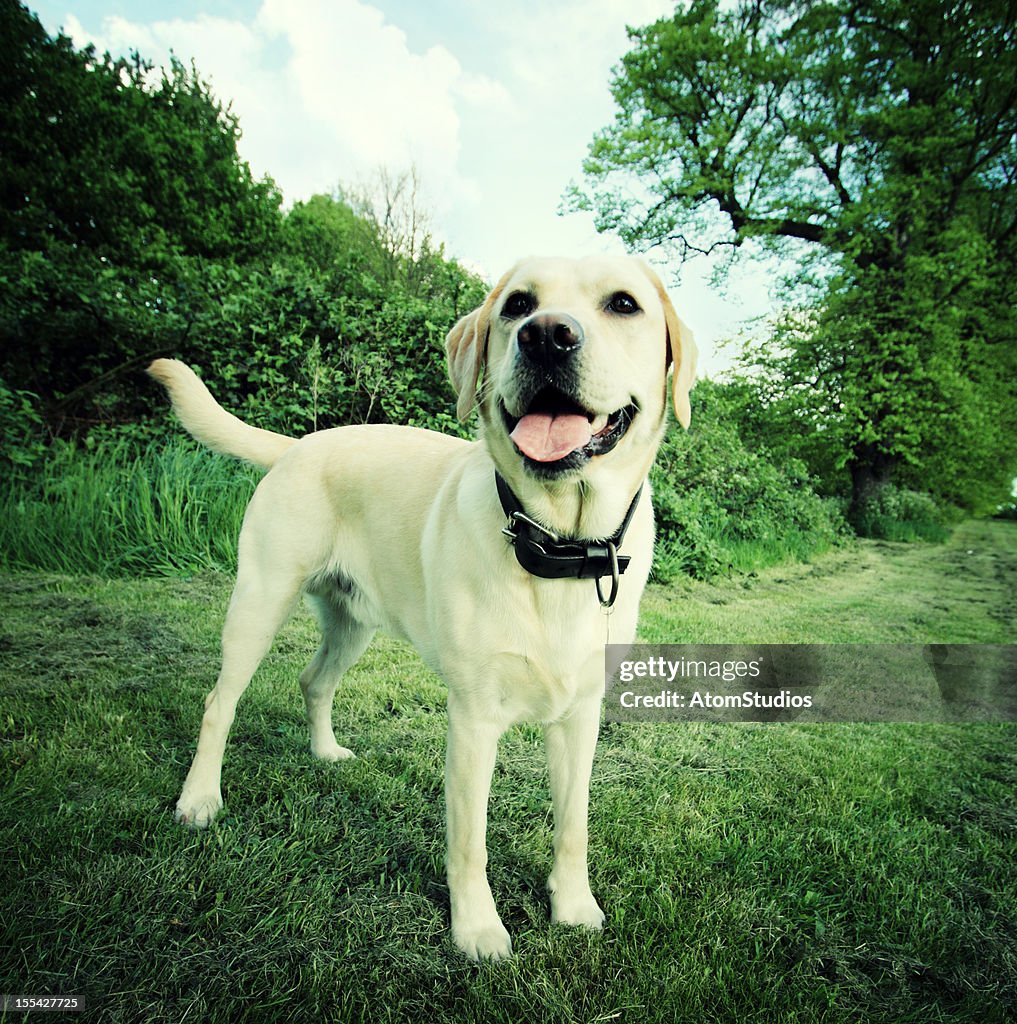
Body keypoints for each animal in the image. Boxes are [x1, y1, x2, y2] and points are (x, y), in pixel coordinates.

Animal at [146, 256, 696, 958]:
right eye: (518, 305)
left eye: (624, 304)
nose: (546, 336)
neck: (557, 542)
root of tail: (298, 444)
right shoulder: (473, 719)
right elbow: (470, 842)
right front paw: (478, 928)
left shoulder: (581, 715)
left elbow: (573, 825)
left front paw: (573, 907)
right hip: (259, 602)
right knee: (220, 703)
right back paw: (199, 799)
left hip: (353, 621)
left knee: (313, 680)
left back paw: (325, 753)